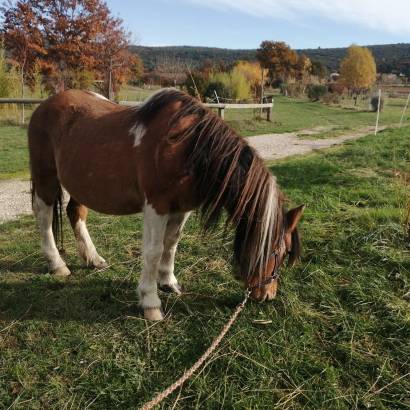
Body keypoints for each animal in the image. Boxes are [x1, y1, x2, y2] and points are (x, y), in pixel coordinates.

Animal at [28, 89, 304, 320]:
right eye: (279, 252)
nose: (267, 295)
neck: (188, 147)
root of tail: (45, 105)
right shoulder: (156, 206)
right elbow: (153, 251)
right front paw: (151, 303)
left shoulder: (182, 207)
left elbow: (171, 244)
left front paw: (168, 282)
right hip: (45, 178)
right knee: (44, 217)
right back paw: (57, 264)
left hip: (81, 183)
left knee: (76, 212)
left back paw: (93, 259)